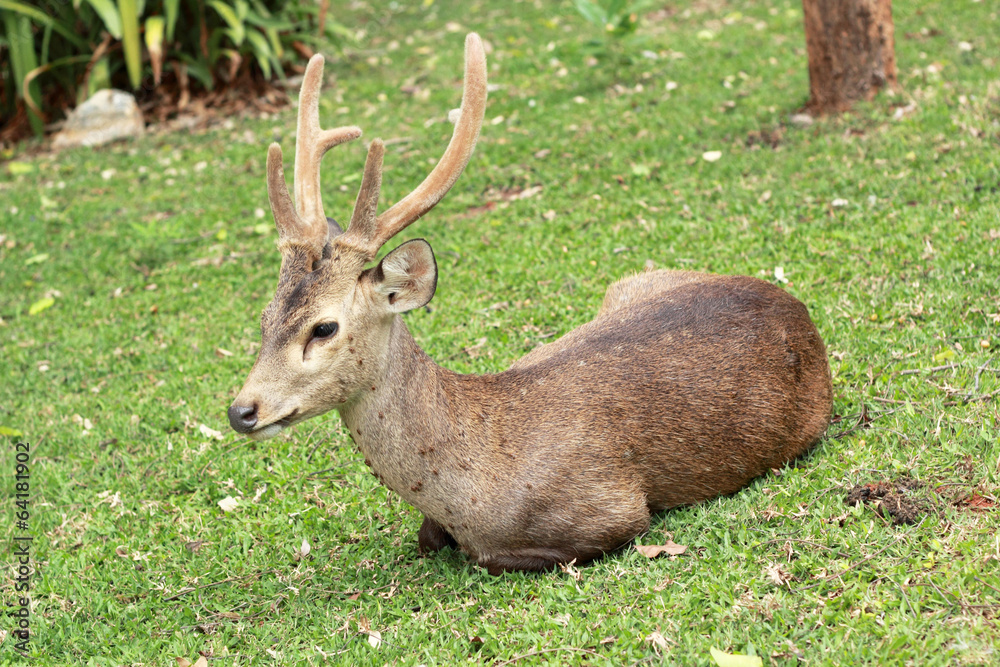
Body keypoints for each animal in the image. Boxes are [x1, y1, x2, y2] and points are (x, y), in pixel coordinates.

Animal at [230, 32, 832, 576]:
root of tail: (794, 305)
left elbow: (492, 557)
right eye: (263, 319)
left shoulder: (613, 509)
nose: (241, 411)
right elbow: (428, 539)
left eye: (324, 328)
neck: (471, 486)